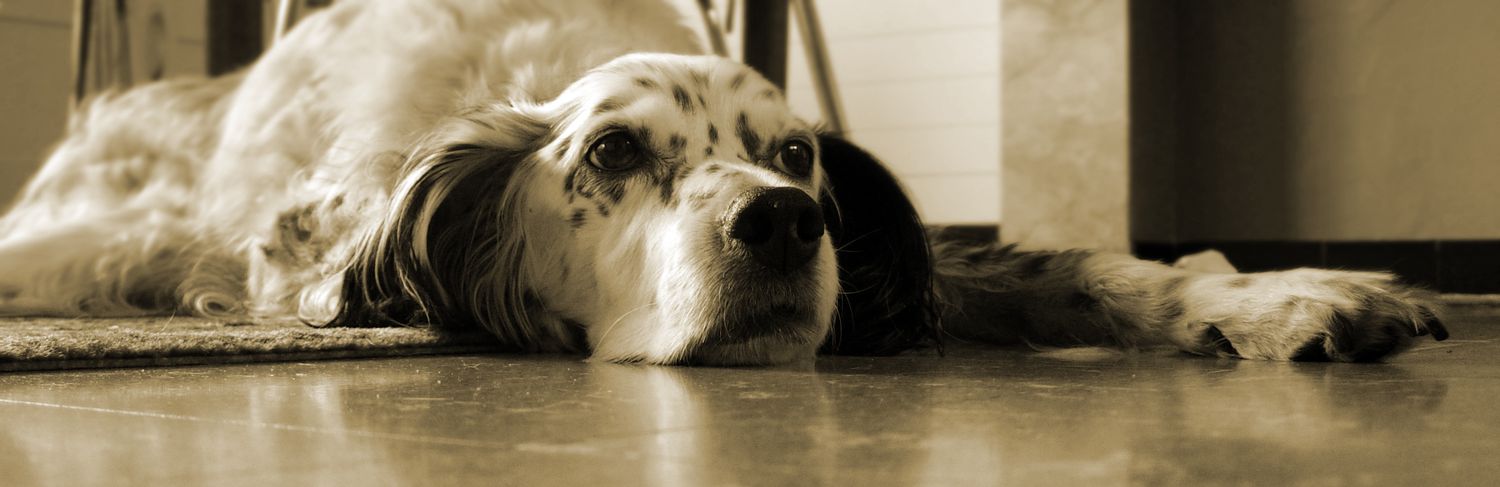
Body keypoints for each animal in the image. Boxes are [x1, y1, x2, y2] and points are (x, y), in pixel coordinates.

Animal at [0, 0, 1447, 365]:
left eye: (798, 154)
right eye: (610, 154)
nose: (782, 222)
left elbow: (1078, 265)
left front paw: (1275, 293)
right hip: (98, 233)